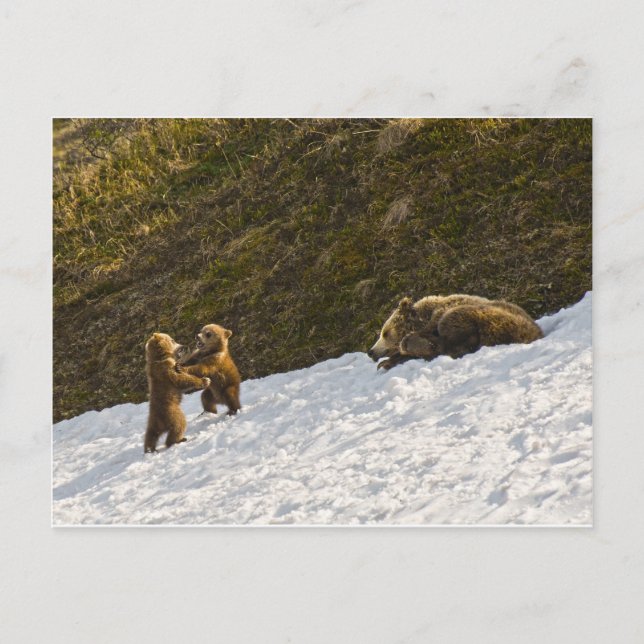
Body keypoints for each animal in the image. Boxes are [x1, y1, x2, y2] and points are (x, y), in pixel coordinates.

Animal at [367, 294, 543, 370]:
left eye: (385, 333)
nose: (371, 351)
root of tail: (535, 333)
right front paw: (386, 362)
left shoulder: (440, 315)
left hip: (493, 319)